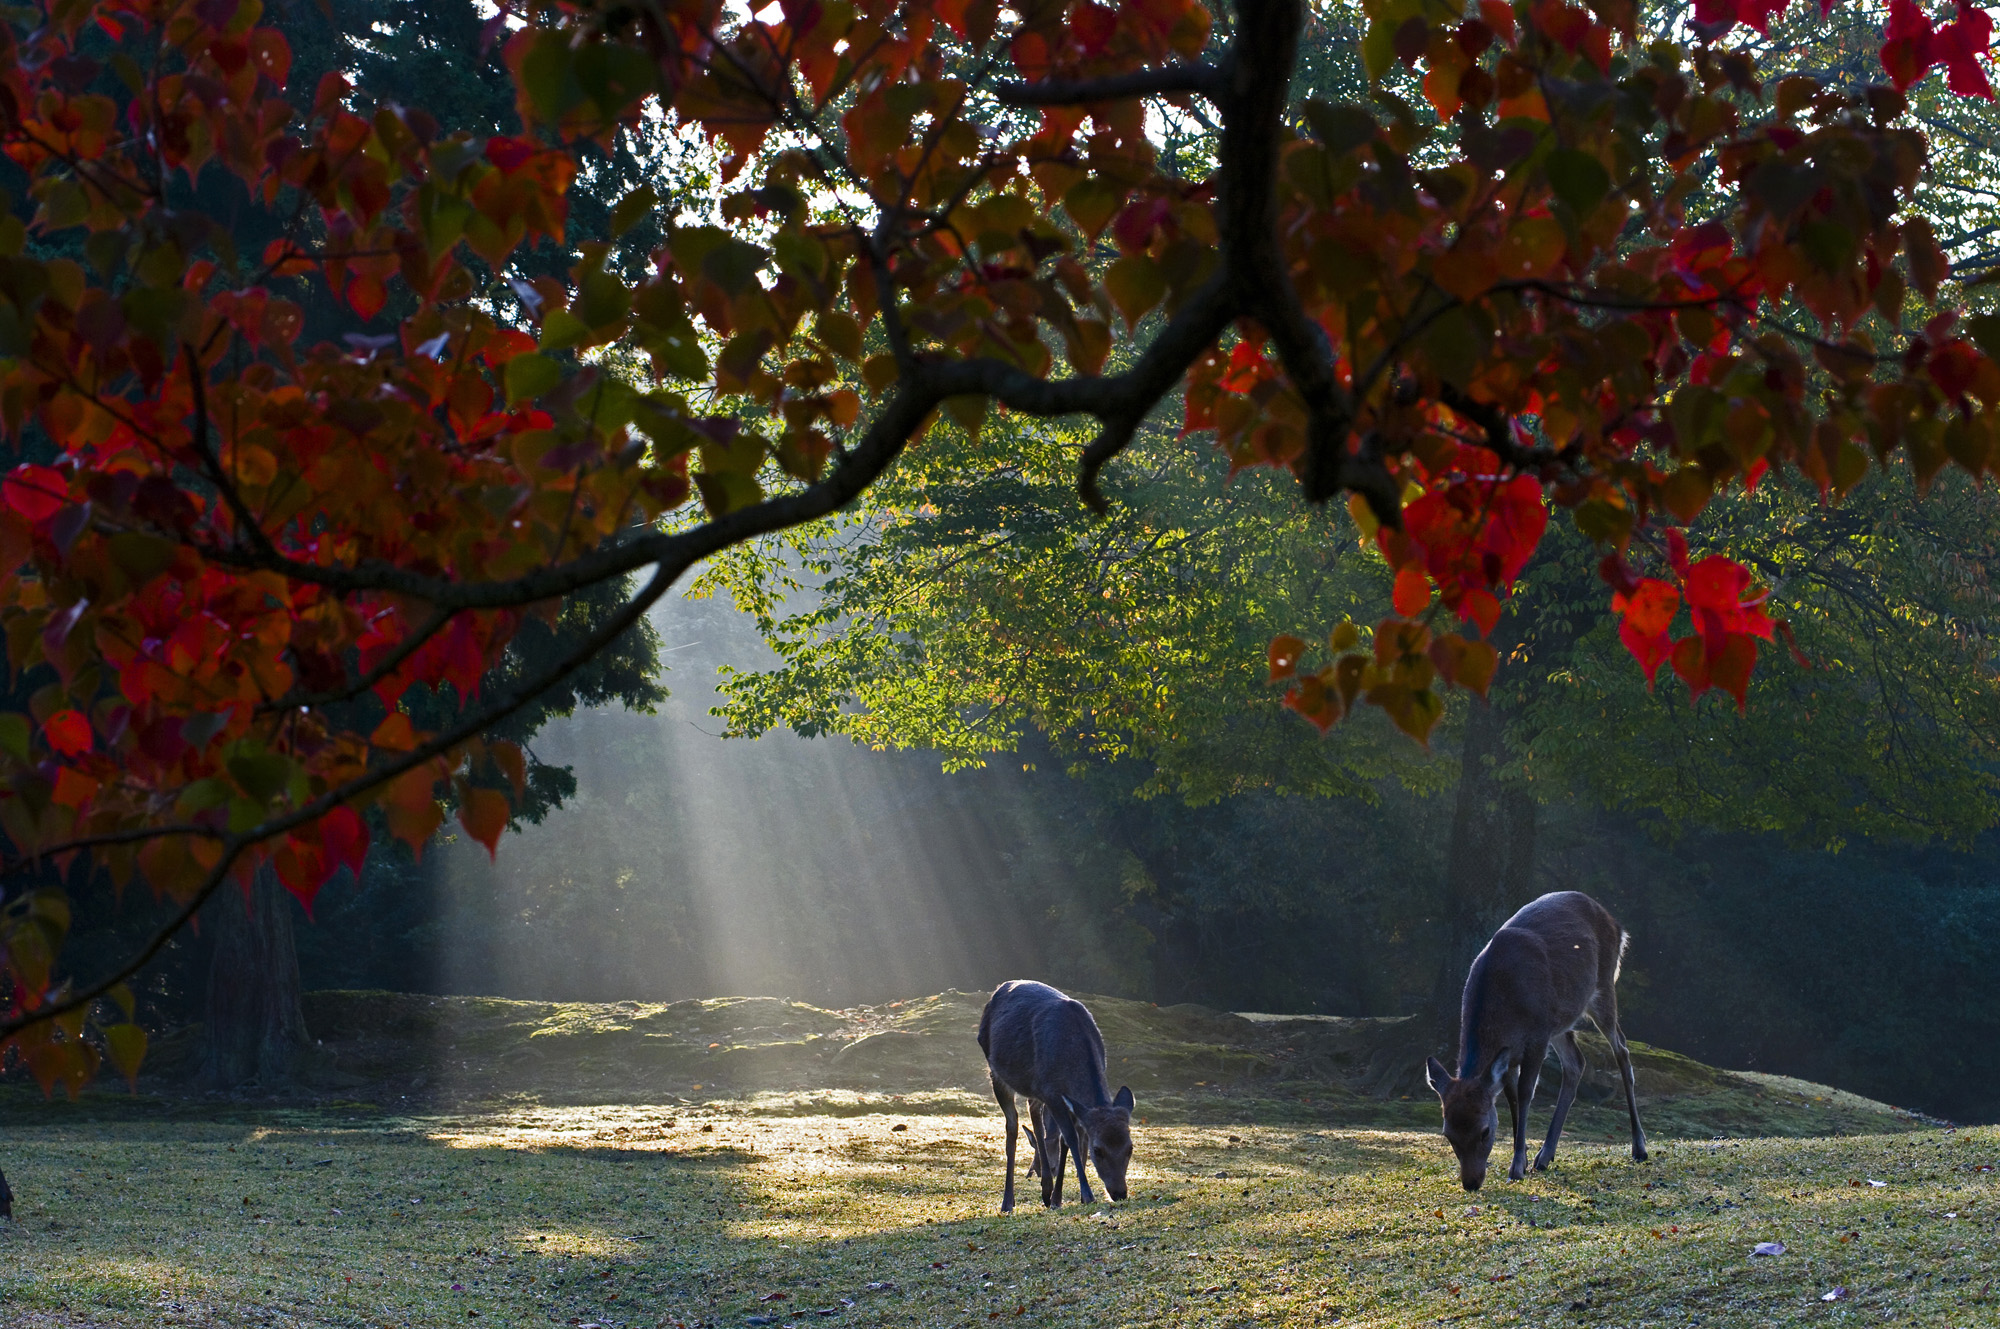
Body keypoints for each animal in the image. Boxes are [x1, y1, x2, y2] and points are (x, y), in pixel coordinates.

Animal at [976, 976, 1136, 1216]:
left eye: (1130, 1148)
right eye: (1098, 1150)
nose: (1119, 1193)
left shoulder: (1068, 1102)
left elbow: (1070, 1138)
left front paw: (1061, 1197)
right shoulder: (1053, 1093)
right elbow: (1069, 1138)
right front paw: (1086, 1194)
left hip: (1035, 1088)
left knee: (1035, 1118)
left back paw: (1046, 1190)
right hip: (996, 1072)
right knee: (1012, 1126)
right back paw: (1008, 1202)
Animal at [1432, 892, 1648, 1192]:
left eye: (1485, 1131)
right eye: (1448, 1134)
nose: (1471, 1182)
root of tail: (1617, 924)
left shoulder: (1536, 1037)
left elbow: (1525, 1094)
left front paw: (1516, 1168)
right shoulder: (1511, 1054)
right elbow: (1511, 1098)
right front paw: (1522, 1160)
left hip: (1602, 988)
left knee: (1623, 1051)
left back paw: (1639, 1148)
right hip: (1559, 1021)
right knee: (1576, 1062)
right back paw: (1545, 1156)